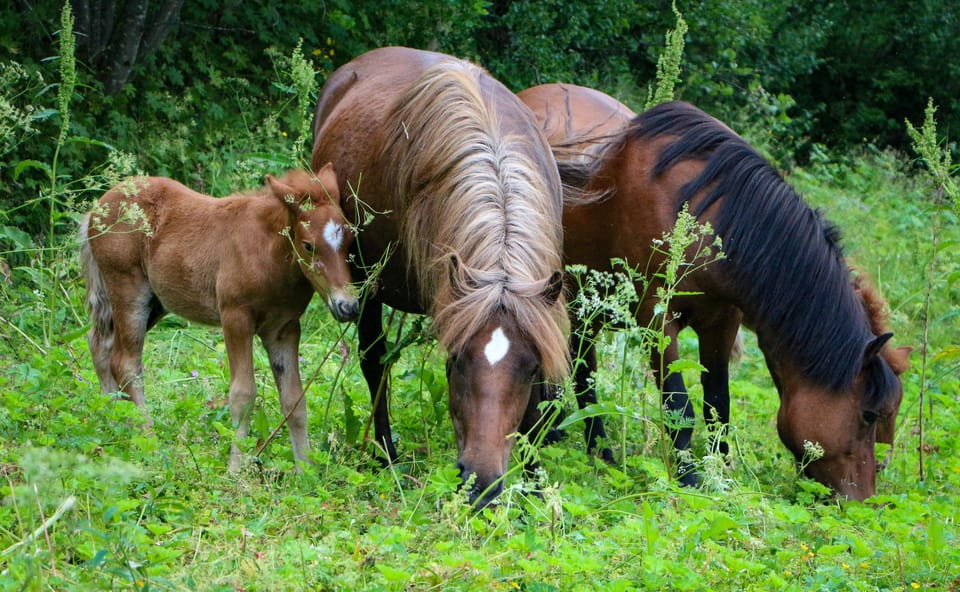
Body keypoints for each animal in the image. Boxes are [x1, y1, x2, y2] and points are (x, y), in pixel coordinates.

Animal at [79, 166, 360, 472]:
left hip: (154, 303)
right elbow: (243, 393)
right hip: (128, 290)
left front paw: (305, 469)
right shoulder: (235, 317)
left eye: (350, 239)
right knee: (125, 363)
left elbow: (294, 399)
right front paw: (235, 468)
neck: (268, 255)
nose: (348, 306)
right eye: (308, 246)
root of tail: (97, 208)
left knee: (100, 344)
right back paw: (147, 440)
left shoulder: (284, 328)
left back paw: (113, 420)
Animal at [312, 48, 568, 506]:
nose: (481, 482)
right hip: (366, 284)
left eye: (531, 369)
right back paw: (386, 453)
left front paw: (535, 482)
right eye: (454, 362)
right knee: (374, 360)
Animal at [520, 83, 912, 500]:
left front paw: (720, 477)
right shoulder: (657, 321)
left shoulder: (722, 324)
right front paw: (690, 480)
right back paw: (595, 450)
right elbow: (680, 408)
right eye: (870, 415)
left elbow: (718, 405)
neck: (707, 216)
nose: (863, 500)